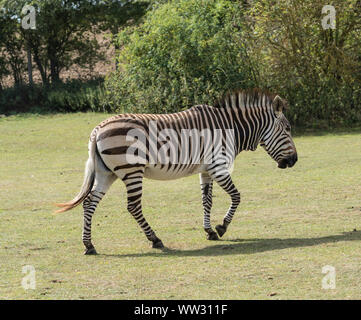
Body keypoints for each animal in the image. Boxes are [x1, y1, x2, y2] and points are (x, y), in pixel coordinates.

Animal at [56, 89, 296, 254]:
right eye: (287, 129)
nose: (294, 160)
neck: (231, 129)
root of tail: (97, 130)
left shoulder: (206, 169)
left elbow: (206, 201)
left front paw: (209, 231)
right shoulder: (218, 166)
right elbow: (236, 196)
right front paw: (222, 227)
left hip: (107, 173)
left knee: (89, 202)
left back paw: (89, 245)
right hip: (131, 171)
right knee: (133, 206)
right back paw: (155, 240)